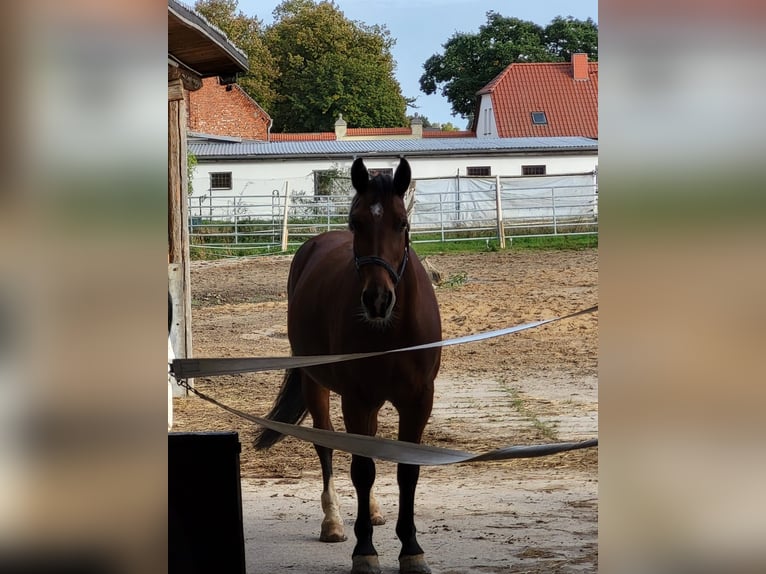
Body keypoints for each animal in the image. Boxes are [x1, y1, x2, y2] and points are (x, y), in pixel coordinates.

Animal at [254, 157, 442, 574]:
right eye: (356, 222)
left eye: (401, 223)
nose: (377, 299)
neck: (392, 329)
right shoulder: (356, 399)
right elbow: (362, 469)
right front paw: (365, 552)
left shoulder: (418, 400)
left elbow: (406, 470)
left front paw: (412, 550)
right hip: (316, 384)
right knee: (327, 445)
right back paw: (334, 521)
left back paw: (371, 510)